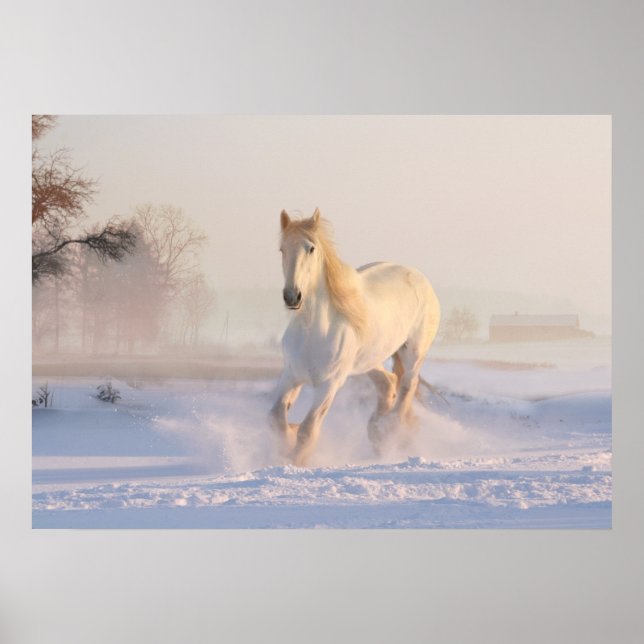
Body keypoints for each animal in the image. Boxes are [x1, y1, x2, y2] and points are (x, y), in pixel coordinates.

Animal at [269, 208, 440, 466]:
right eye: (282, 249)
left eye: (311, 248)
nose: (292, 296)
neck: (313, 331)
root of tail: (419, 277)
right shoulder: (291, 375)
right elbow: (276, 418)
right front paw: (288, 439)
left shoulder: (329, 385)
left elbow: (308, 430)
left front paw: (296, 460)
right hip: (368, 361)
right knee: (388, 383)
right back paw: (376, 431)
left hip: (413, 353)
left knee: (407, 386)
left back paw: (389, 430)